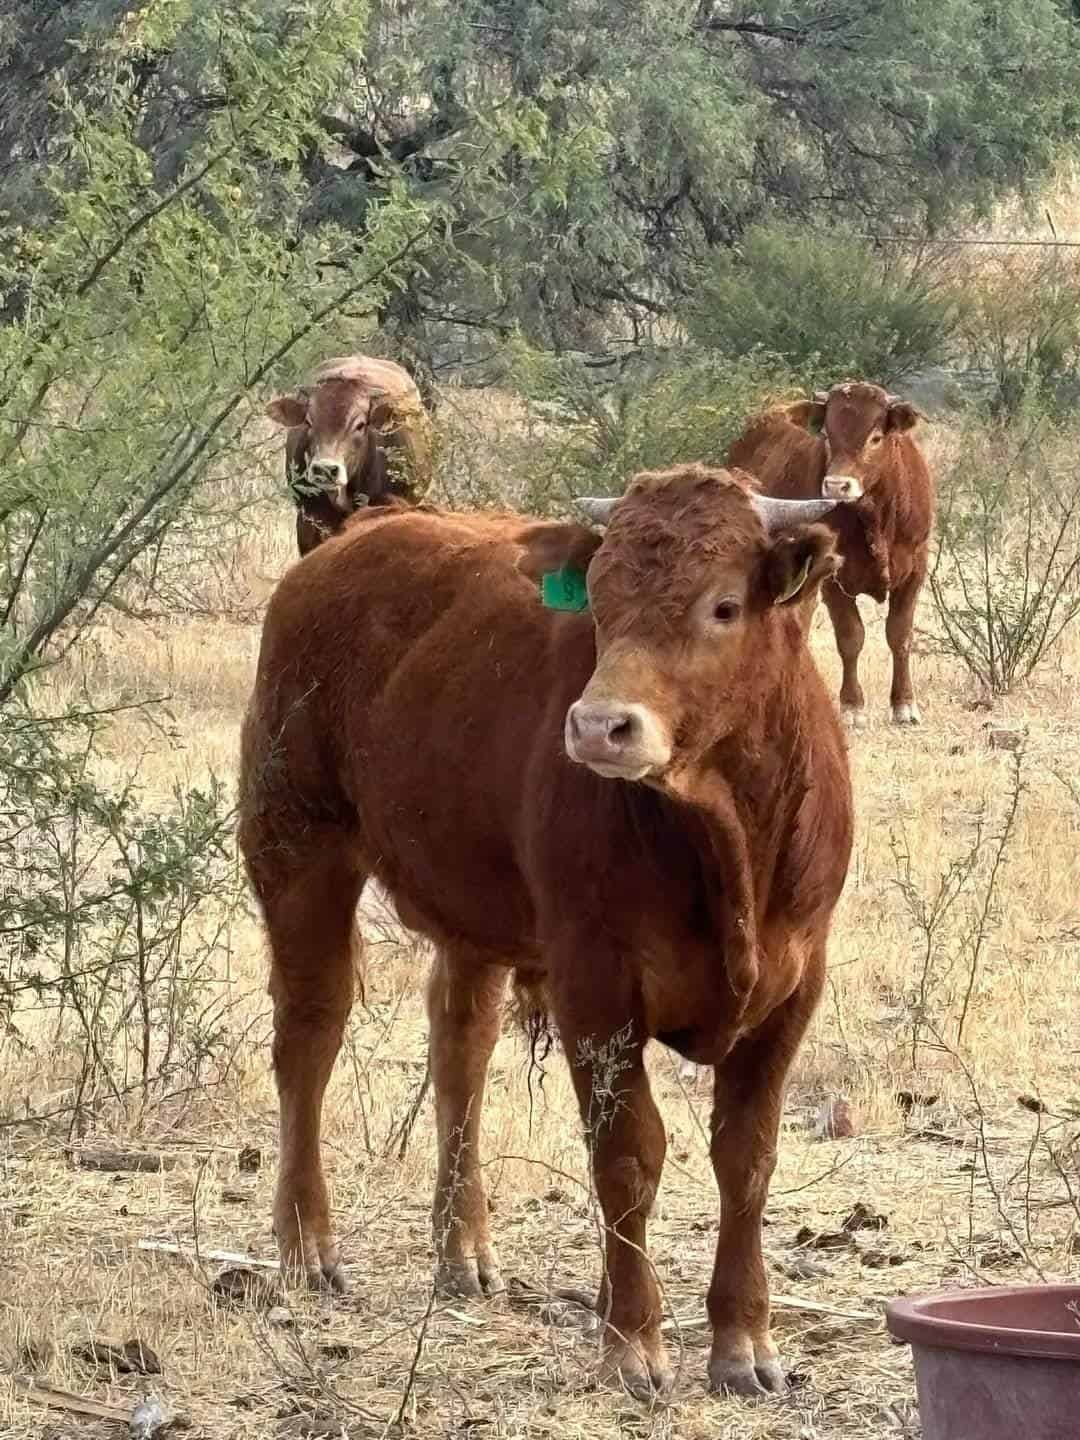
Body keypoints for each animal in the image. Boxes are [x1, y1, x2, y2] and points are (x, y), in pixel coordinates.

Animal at [240, 466, 858, 1399]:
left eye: (723, 605)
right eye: (598, 603)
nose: (600, 725)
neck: (727, 838)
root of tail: (356, 538)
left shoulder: (796, 986)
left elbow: (746, 1158)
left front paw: (744, 1341)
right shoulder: (595, 985)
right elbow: (629, 1155)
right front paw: (632, 1340)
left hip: (470, 910)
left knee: (459, 1050)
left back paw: (462, 1248)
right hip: (296, 848)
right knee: (308, 1040)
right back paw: (309, 1245)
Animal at [731, 377, 933, 725]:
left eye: (875, 437)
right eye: (828, 434)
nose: (837, 485)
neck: (876, 516)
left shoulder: (914, 571)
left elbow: (899, 635)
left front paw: (904, 704)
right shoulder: (834, 580)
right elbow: (851, 637)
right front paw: (852, 705)